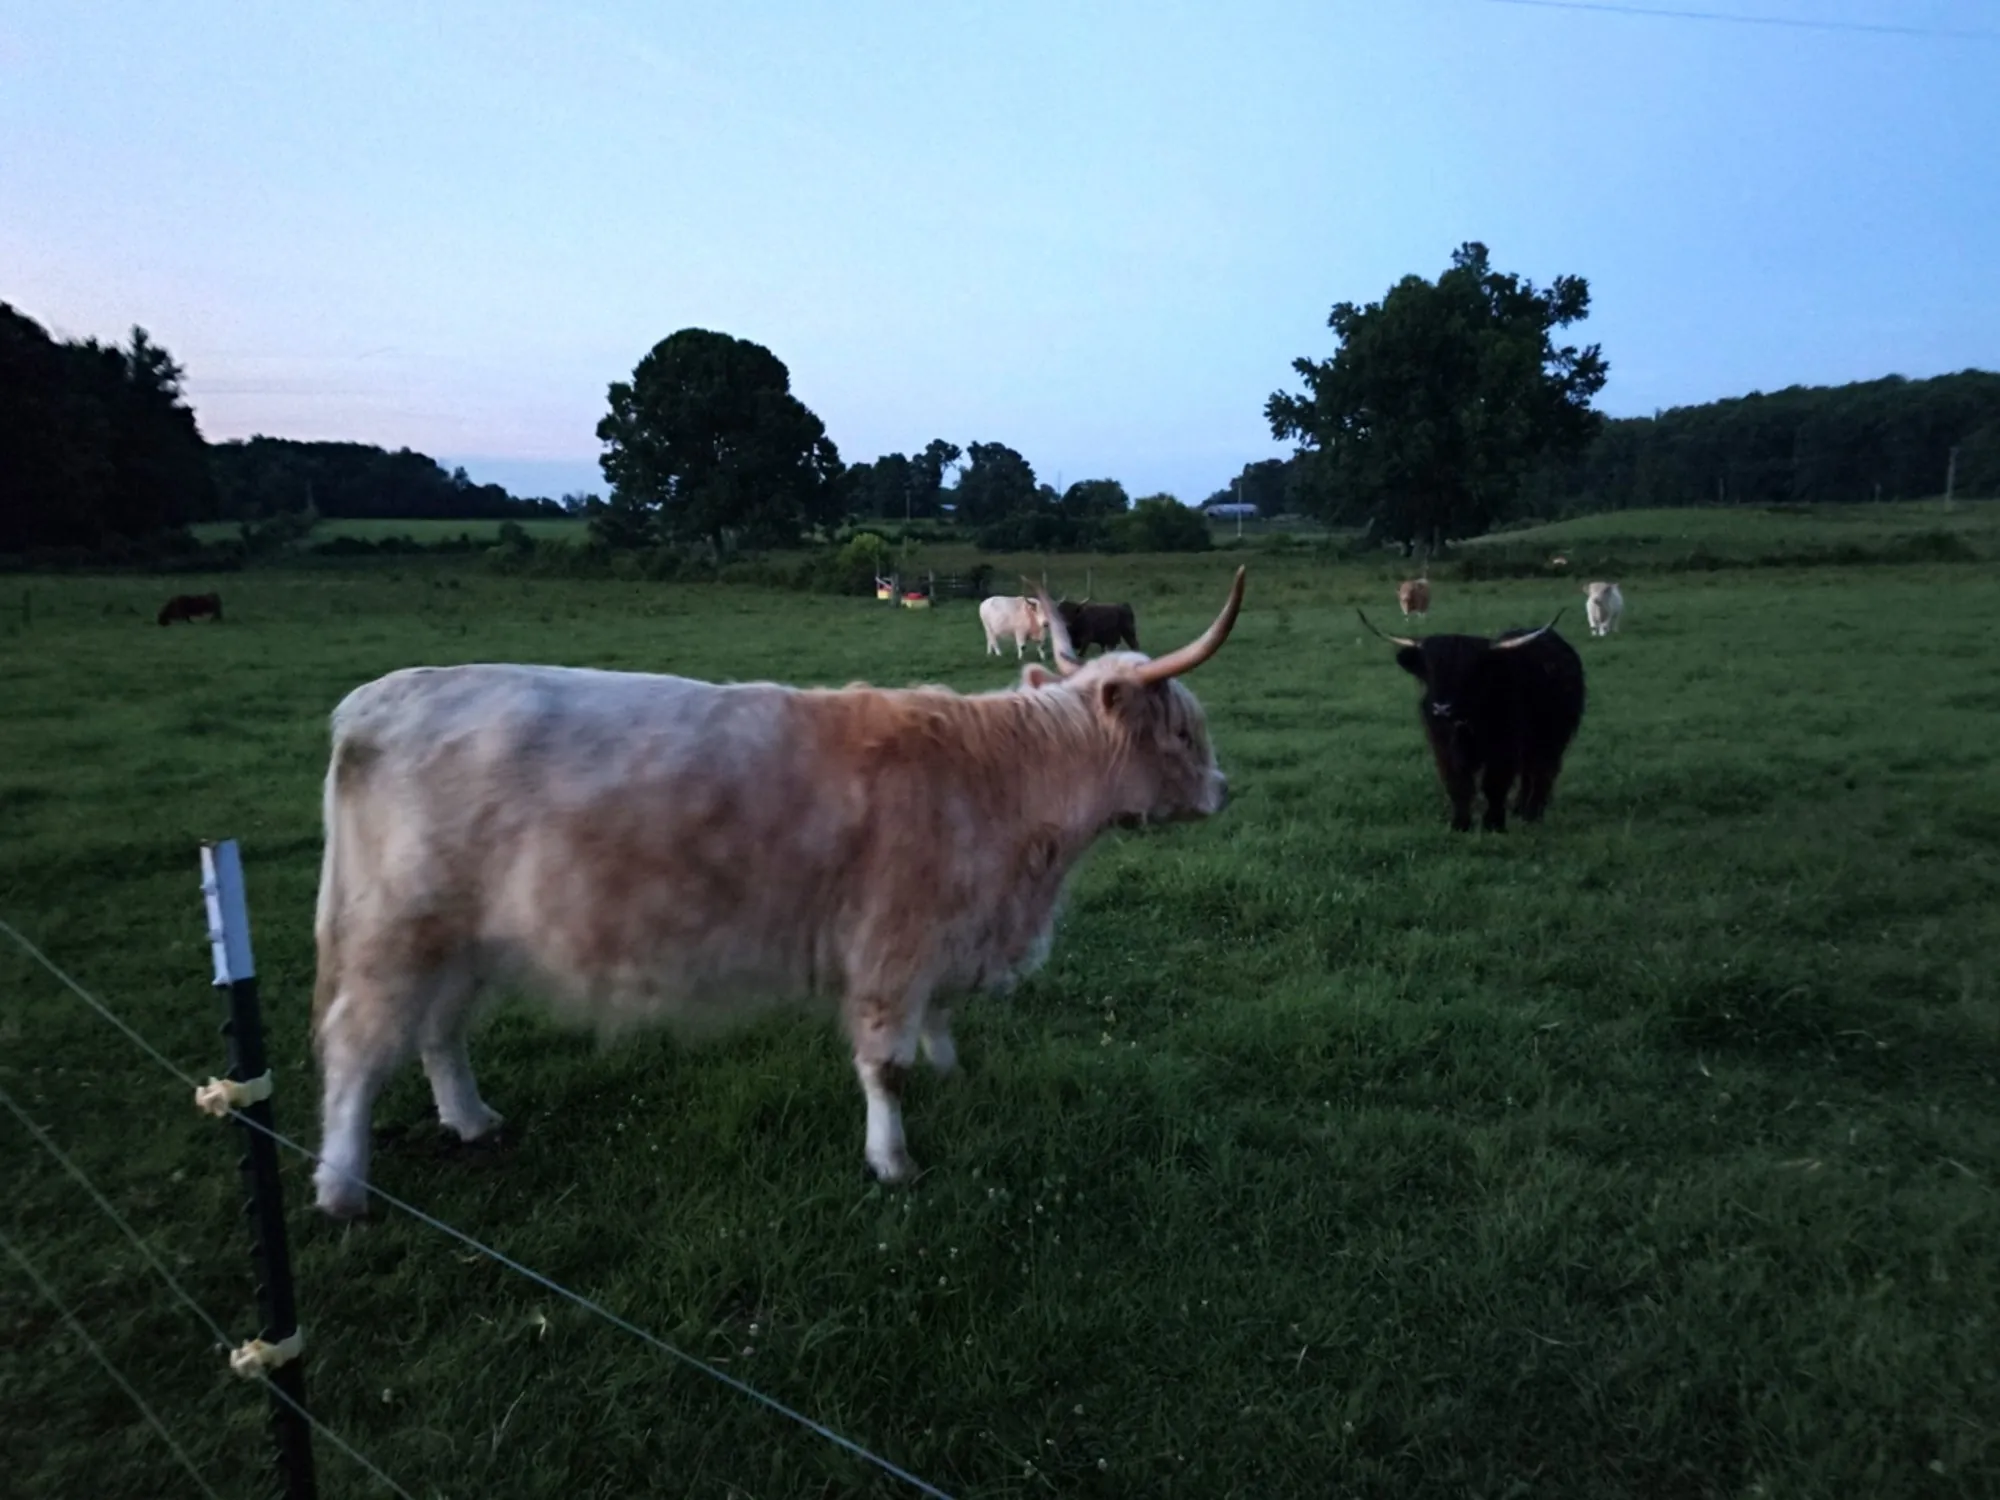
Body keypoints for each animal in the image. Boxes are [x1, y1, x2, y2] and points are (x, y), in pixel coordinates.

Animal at [308, 568, 1248, 1217]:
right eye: (1183, 730)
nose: (1226, 790)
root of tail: (375, 699)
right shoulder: (892, 941)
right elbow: (885, 1065)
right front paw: (893, 1161)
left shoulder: (944, 934)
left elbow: (939, 1021)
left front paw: (951, 1071)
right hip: (396, 930)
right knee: (358, 1047)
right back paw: (343, 1188)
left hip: (464, 939)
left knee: (439, 1032)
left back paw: (471, 1119)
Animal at [1359, 609, 1585, 834]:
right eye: (1429, 669)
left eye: (1469, 671)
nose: (1441, 708)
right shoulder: (1443, 747)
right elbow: (1458, 784)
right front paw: (1460, 824)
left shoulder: (1505, 747)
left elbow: (1494, 784)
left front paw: (1493, 824)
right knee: (1529, 773)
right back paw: (1519, 809)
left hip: (1552, 738)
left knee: (1542, 772)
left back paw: (1532, 815)